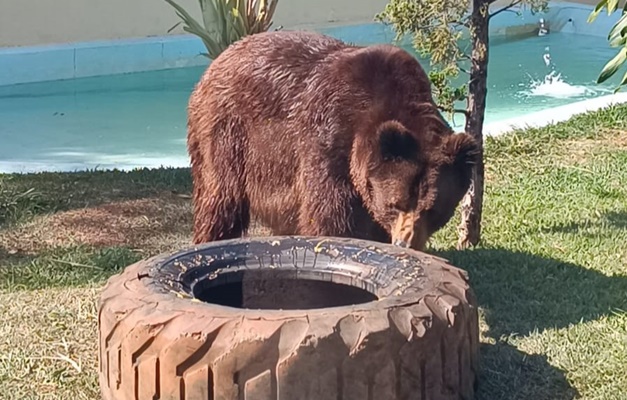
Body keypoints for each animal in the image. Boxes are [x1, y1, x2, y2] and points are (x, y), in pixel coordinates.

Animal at [186, 30, 480, 250]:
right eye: (395, 204)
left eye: (434, 210)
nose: (404, 243)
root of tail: (220, 58)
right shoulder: (328, 141)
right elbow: (331, 216)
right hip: (227, 134)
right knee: (220, 200)